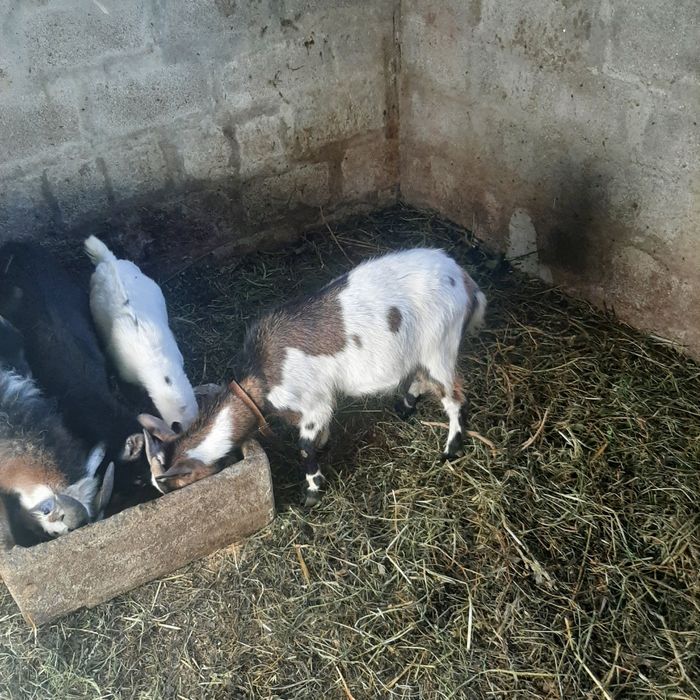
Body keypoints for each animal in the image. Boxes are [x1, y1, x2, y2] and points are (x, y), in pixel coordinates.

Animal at [140, 248, 486, 505]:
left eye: (175, 484)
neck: (257, 384)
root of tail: (466, 281)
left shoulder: (311, 403)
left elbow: (304, 447)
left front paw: (312, 491)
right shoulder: (316, 406)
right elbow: (318, 436)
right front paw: (324, 447)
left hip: (439, 344)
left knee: (454, 395)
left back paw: (450, 448)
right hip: (423, 349)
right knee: (422, 377)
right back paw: (406, 406)